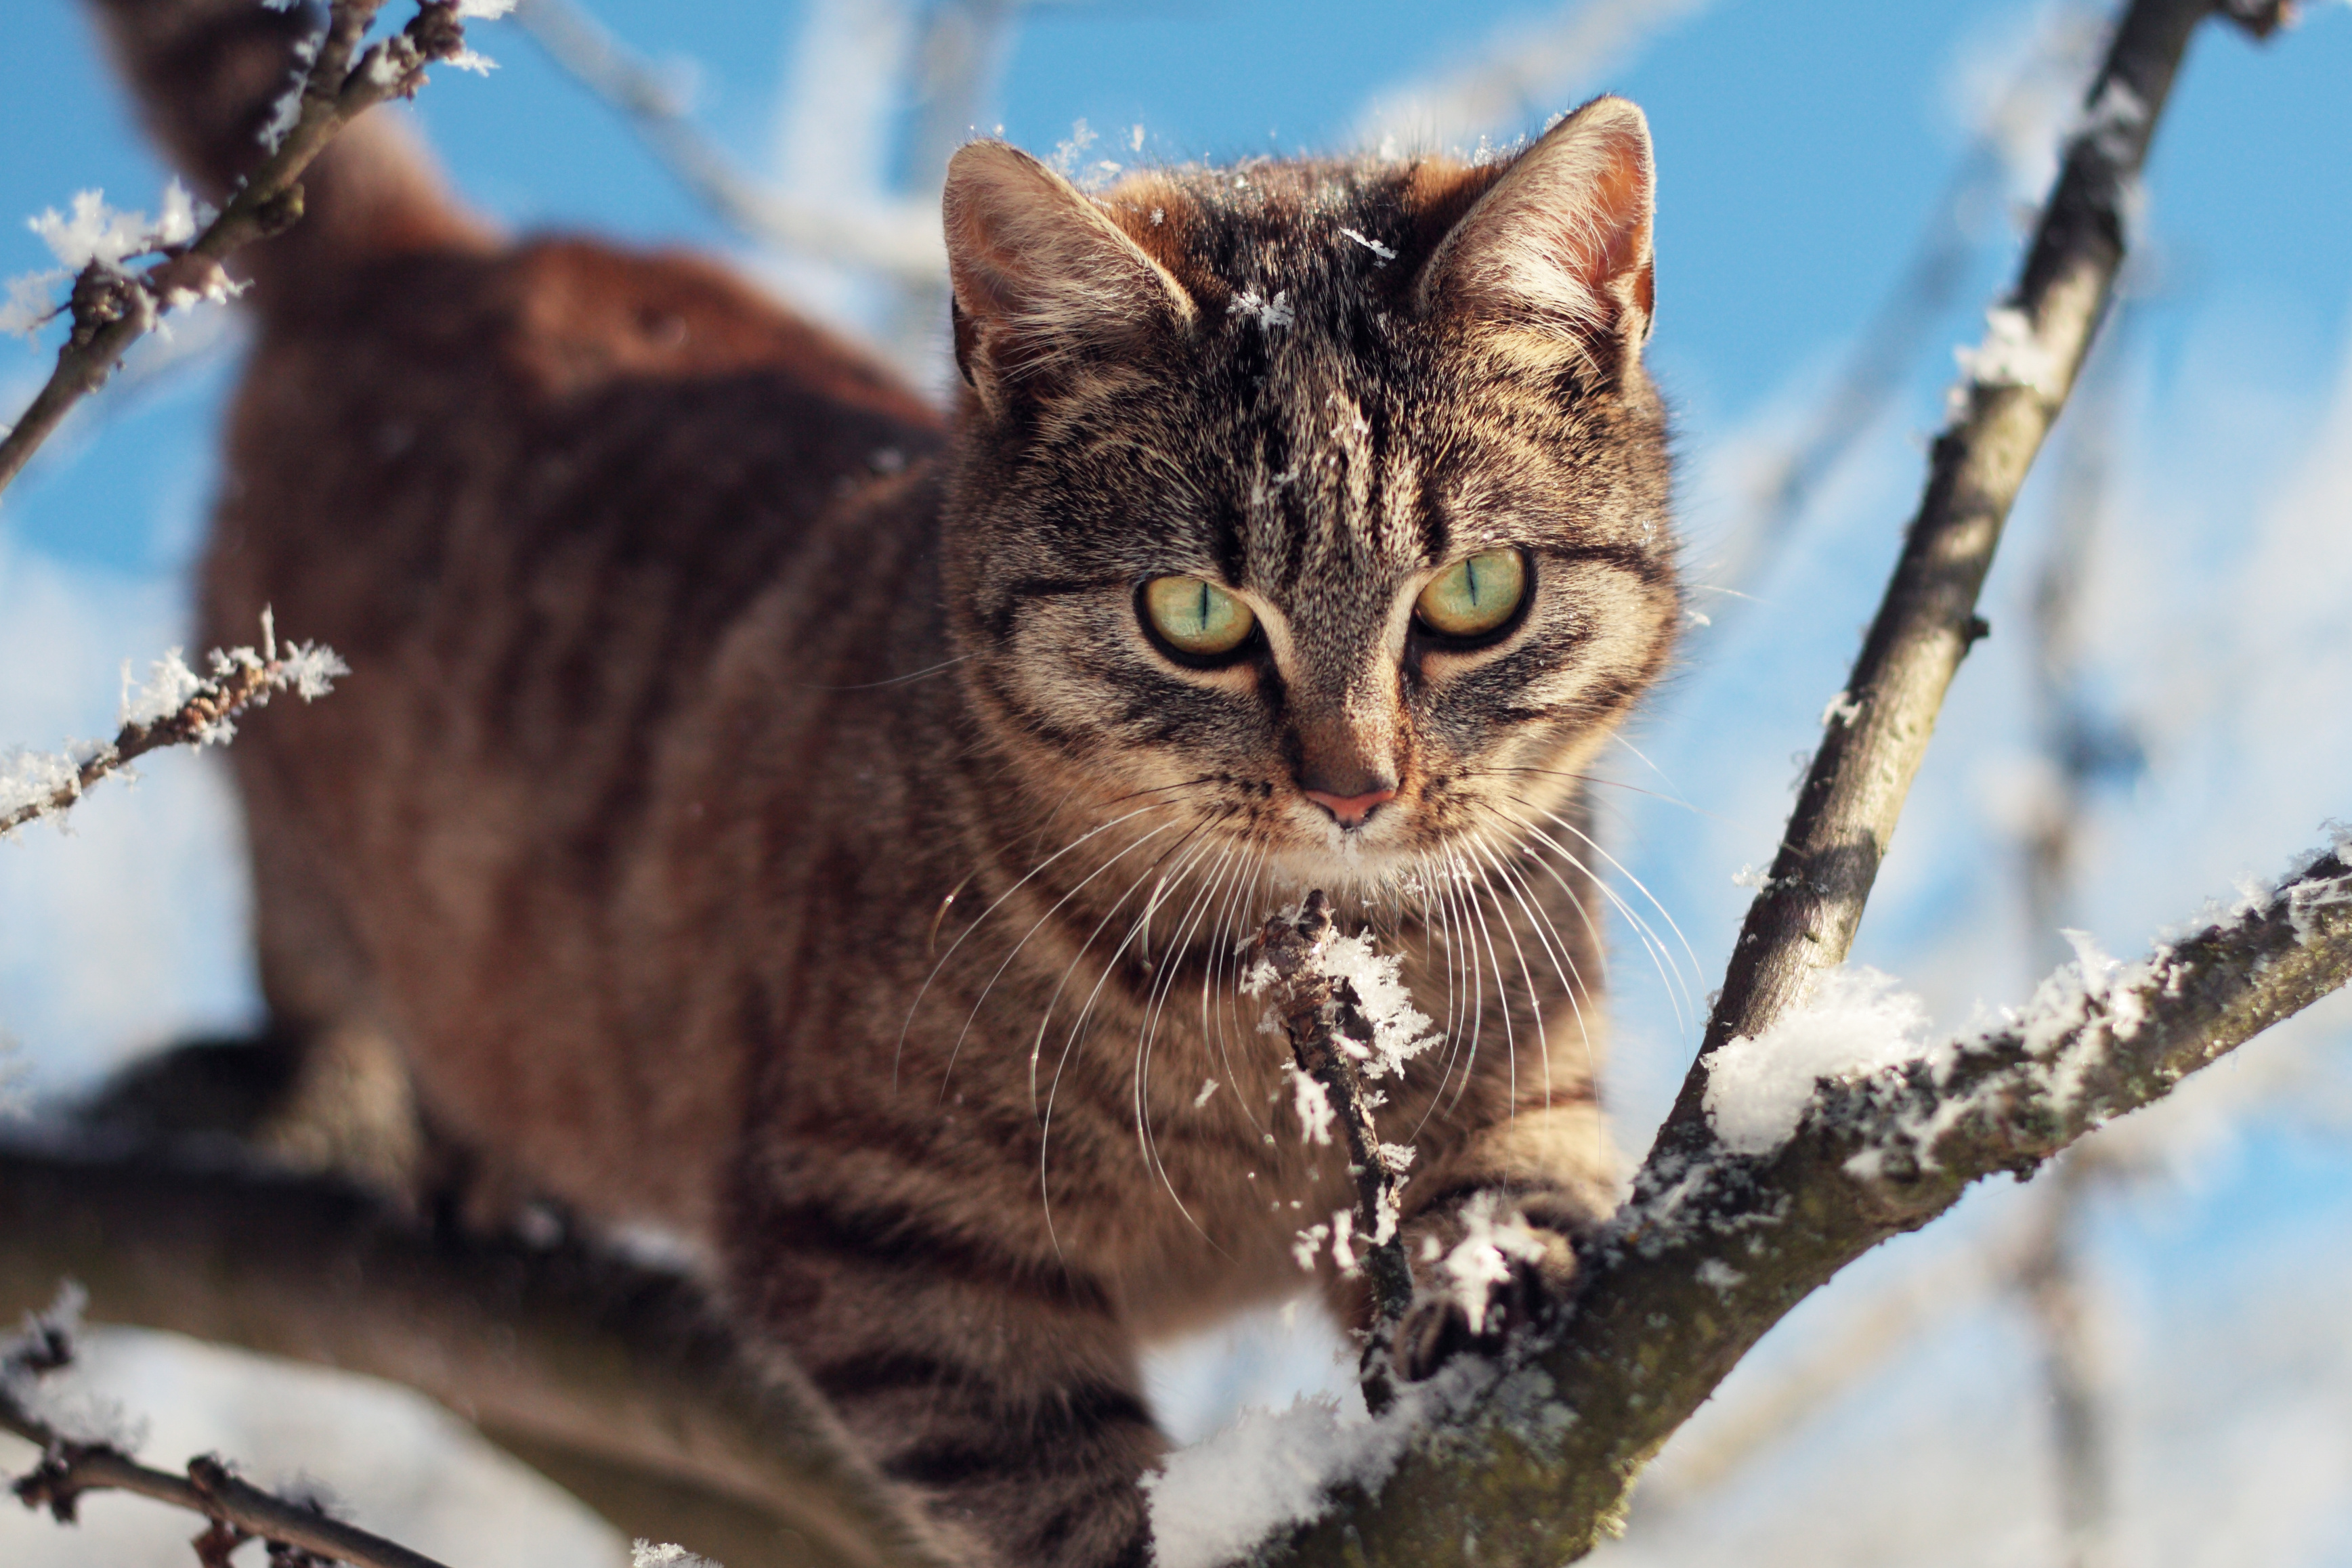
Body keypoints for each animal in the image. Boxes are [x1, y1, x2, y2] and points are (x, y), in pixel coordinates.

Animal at [91, 6, 1674, 1561]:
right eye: (1194, 613)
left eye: (1474, 591)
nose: (1351, 790)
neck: (1270, 1003)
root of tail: (441, 252)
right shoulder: (880, 1238)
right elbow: (1060, 1491)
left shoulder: (1522, 1086)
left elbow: (1514, 1192)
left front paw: (1483, 1284)